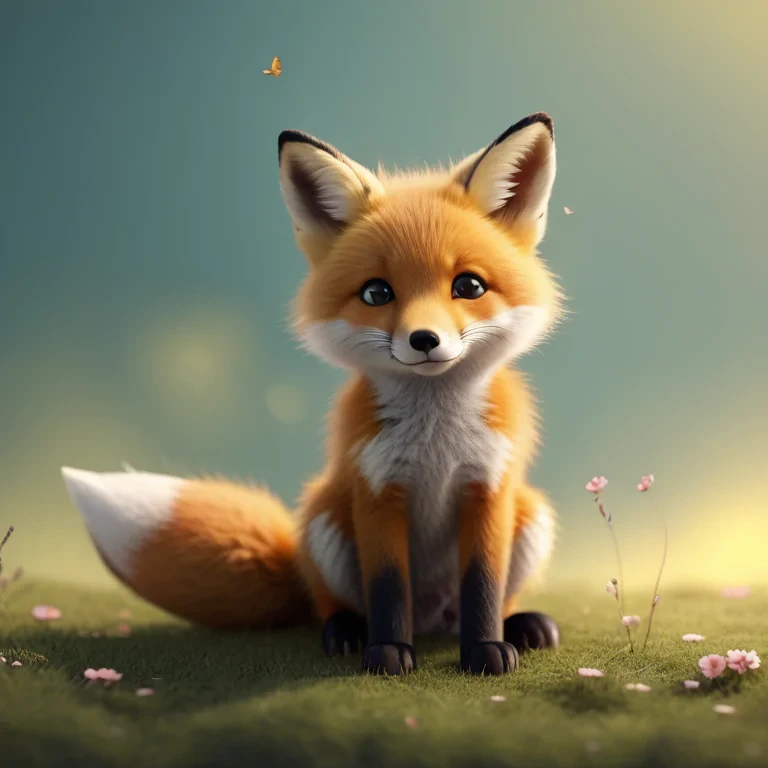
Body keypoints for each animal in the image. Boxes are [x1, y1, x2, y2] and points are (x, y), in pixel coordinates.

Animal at [61, 112, 564, 676]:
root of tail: (432, 618)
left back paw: (520, 625)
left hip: (531, 516)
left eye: (470, 287)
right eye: (376, 293)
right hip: (326, 521)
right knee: (330, 604)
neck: (437, 441)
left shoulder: (489, 488)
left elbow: (483, 585)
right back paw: (346, 630)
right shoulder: (376, 491)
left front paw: (484, 650)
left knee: (489, 599)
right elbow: (387, 586)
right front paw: (387, 652)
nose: (424, 340)